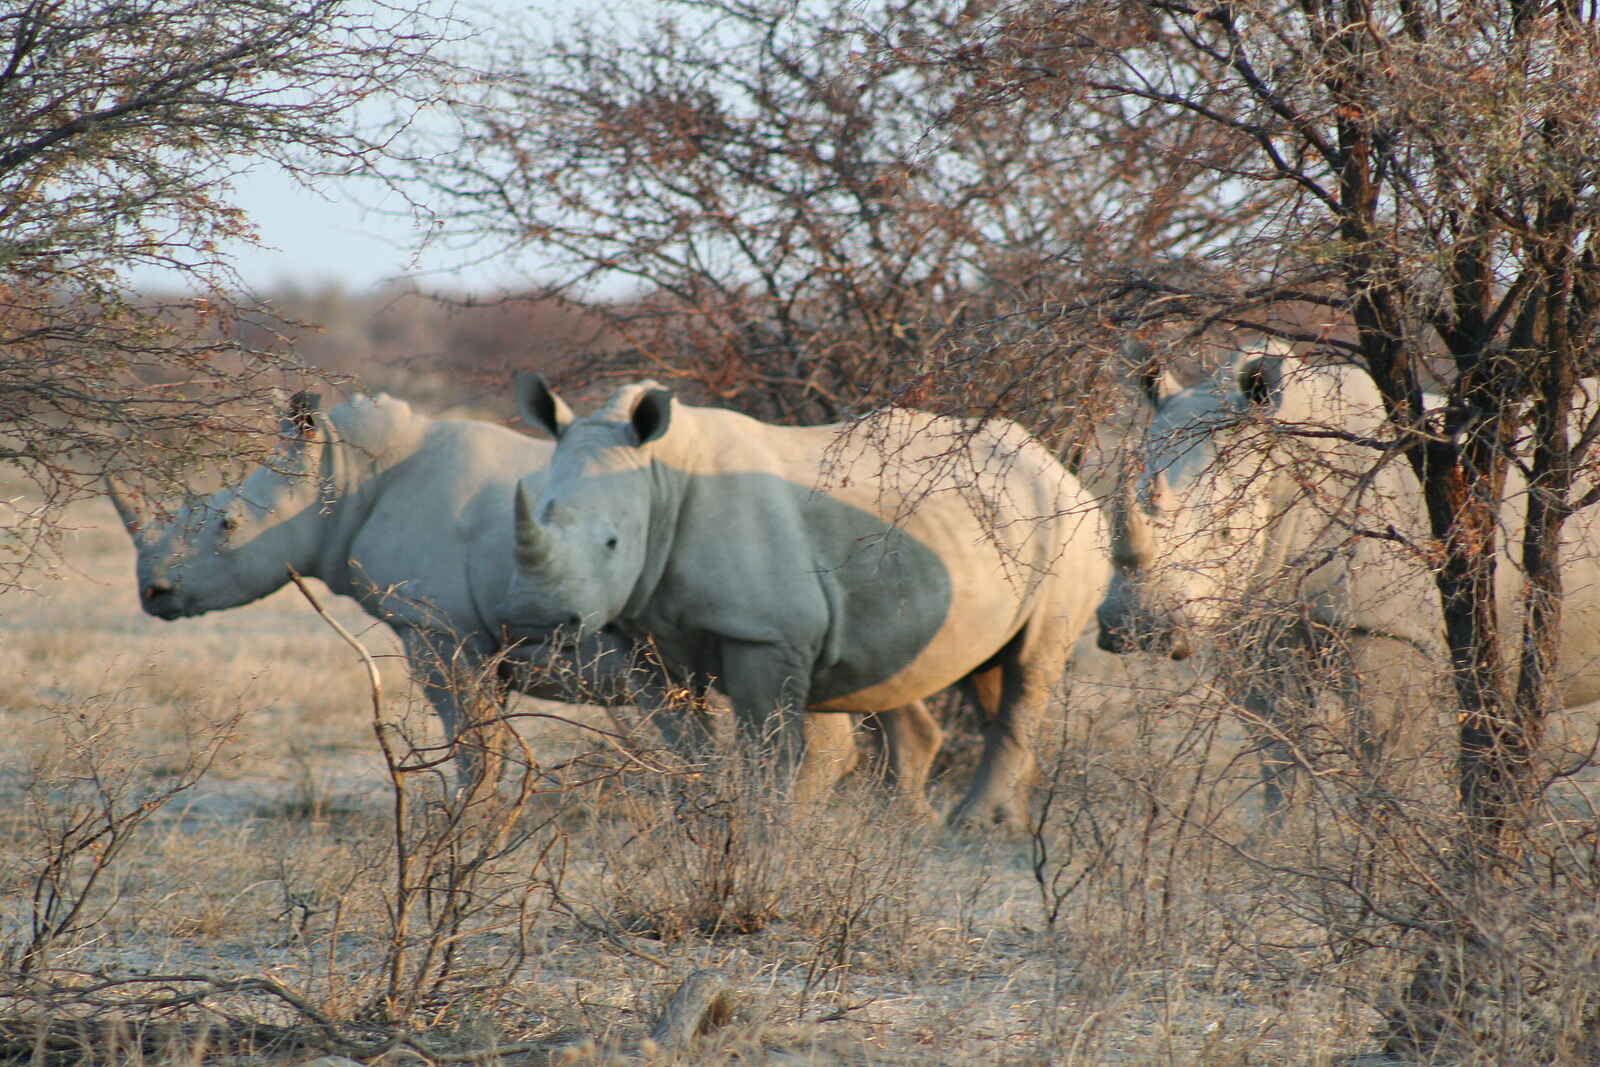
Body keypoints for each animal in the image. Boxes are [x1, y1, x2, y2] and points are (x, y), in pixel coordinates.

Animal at [109, 390, 945, 795]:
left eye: (226, 523)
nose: (154, 593)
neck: (343, 482)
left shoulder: (439, 629)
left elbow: (476, 746)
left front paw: (466, 834)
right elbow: (483, 741)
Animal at [499, 376, 1109, 829]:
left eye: (611, 543)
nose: (538, 620)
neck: (655, 481)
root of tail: (1058, 463)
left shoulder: (765, 634)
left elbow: (768, 747)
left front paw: (762, 832)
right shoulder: (640, 634)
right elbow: (686, 739)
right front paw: (712, 816)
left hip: (1070, 527)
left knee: (1030, 664)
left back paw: (976, 826)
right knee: (980, 668)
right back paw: (970, 822)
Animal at [1096, 337, 1600, 810]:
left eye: (1224, 535)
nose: (1136, 628)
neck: (1288, 469)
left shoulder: (1387, 630)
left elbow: (1386, 765)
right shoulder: (1257, 622)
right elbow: (1279, 761)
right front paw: (1284, 842)